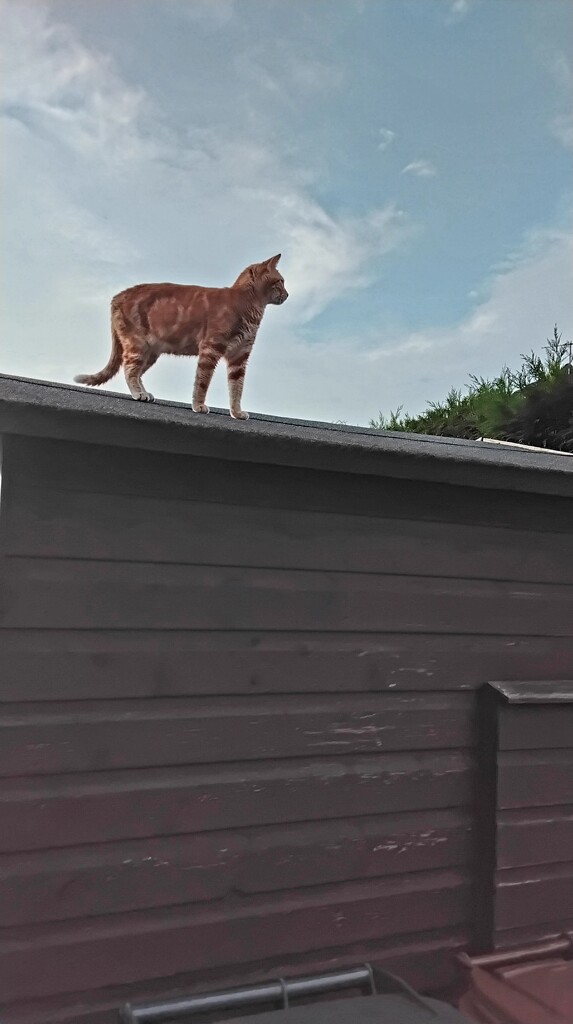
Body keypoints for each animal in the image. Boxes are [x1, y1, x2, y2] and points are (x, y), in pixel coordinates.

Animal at [75, 253, 286, 417]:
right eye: (280, 281)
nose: (288, 294)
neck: (249, 306)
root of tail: (117, 296)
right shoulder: (210, 349)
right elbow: (202, 382)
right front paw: (198, 405)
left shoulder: (239, 357)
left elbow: (237, 388)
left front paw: (236, 412)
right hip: (138, 346)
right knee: (130, 370)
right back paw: (138, 393)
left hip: (150, 353)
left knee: (137, 373)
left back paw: (145, 393)